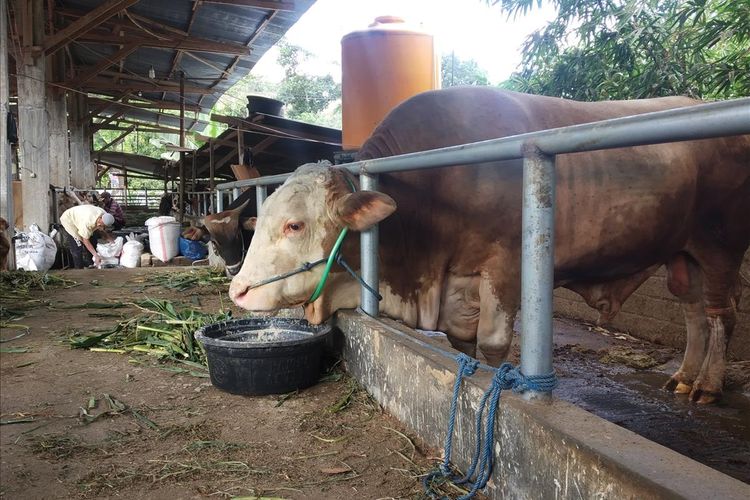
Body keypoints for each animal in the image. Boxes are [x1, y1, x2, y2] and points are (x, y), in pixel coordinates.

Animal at [229, 88, 750, 404]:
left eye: (295, 225)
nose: (238, 291)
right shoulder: (457, 288)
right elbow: (466, 346)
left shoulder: (506, 267)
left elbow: (494, 344)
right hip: (683, 254)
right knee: (693, 312)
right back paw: (684, 376)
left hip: (720, 245)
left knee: (721, 315)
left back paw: (707, 385)